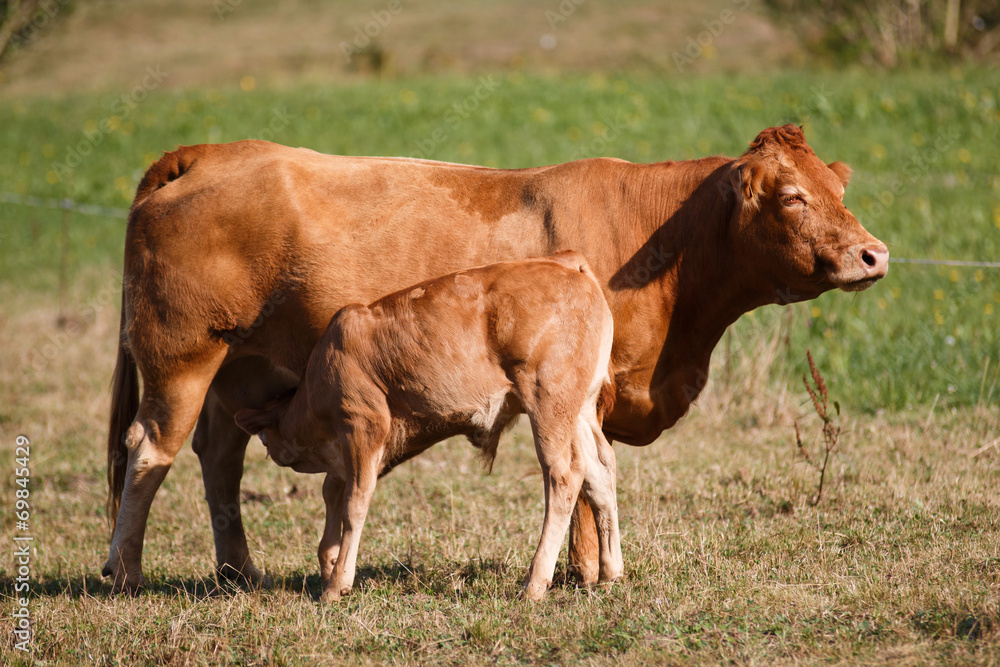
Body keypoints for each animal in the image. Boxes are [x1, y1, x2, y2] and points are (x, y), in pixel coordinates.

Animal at [230, 252, 621, 601]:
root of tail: (567, 262)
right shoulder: (348, 451)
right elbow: (333, 493)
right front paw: (329, 563)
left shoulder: (363, 424)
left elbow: (354, 502)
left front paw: (336, 584)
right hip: (579, 409)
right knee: (600, 470)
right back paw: (610, 573)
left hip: (547, 400)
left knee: (564, 474)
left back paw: (535, 584)